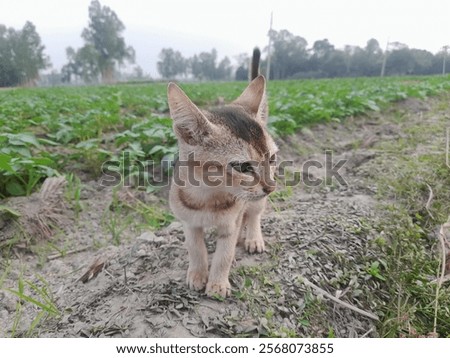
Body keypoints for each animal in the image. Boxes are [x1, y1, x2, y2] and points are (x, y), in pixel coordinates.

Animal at [166, 51, 276, 296]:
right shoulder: (189, 223)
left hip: (256, 202)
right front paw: (197, 274)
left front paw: (217, 283)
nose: (271, 187)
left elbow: (224, 255)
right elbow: (196, 249)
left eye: (272, 159)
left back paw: (253, 238)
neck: (208, 196)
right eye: (243, 167)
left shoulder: (230, 224)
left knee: (254, 215)